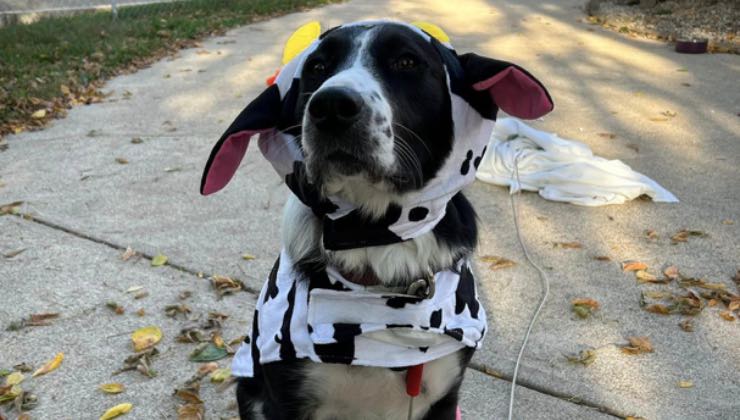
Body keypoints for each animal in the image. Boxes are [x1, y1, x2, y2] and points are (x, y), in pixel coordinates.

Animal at [199, 19, 552, 420]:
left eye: (406, 61)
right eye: (317, 67)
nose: (331, 106)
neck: (374, 237)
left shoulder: (445, 397)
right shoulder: (285, 400)